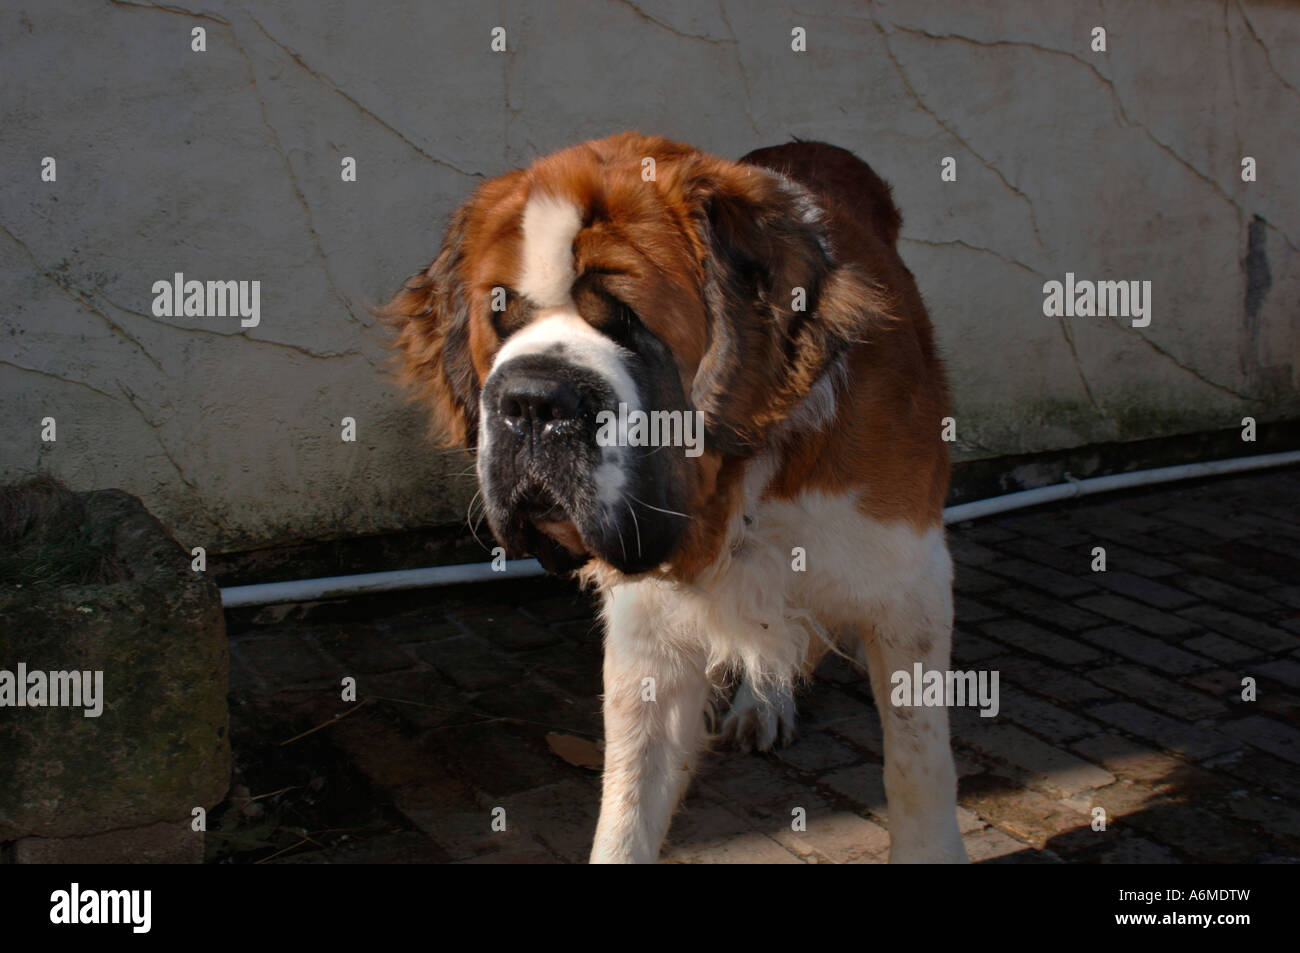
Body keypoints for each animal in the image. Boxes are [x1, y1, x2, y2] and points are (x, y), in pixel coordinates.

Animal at [382, 130, 967, 868]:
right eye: (500, 317)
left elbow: (918, 764)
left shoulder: (907, 585)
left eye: (630, 321)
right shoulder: (648, 624)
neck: (742, 478)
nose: (531, 402)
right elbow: (631, 797)